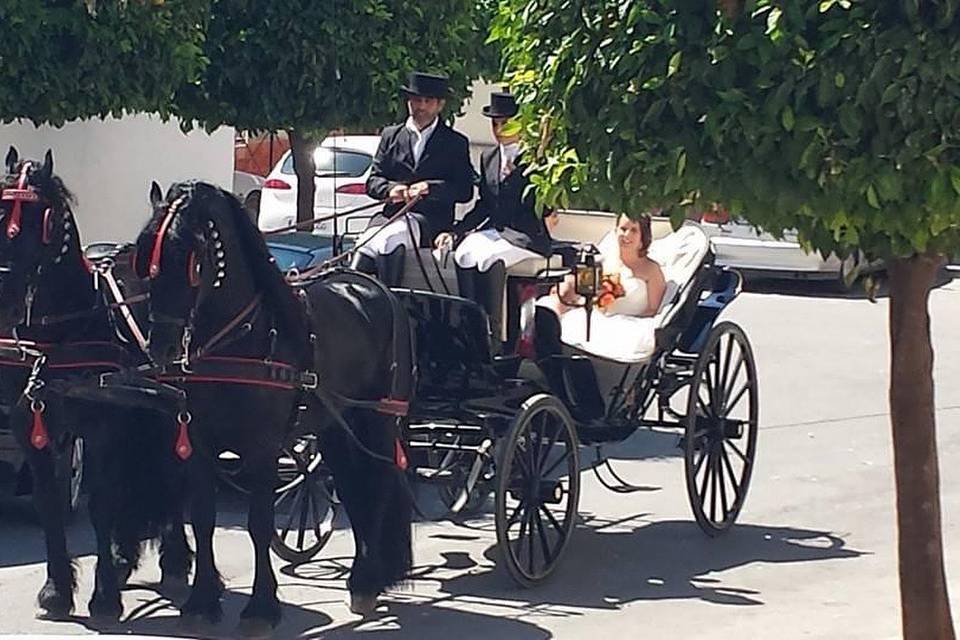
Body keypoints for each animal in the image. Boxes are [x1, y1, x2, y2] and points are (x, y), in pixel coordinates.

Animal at [0, 149, 193, 620]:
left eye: (43, 217)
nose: (4, 286)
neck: (61, 332)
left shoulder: (101, 428)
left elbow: (102, 505)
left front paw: (103, 596)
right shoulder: (32, 430)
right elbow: (49, 505)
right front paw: (57, 589)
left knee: (172, 473)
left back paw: (174, 560)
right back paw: (126, 556)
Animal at [133, 180, 410, 636]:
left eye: (191, 258)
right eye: (144, 259)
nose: (162, 348)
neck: (237, 340)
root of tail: (370, 285)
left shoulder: (261, 448)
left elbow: (260, 524)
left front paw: (261, 607)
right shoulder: (200, 443)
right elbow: (204, 519)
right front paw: (202, 600)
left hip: (379, 416)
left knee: (380, 485)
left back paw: (367, 581)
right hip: (335, 426)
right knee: (354, 488)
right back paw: (362, 579)